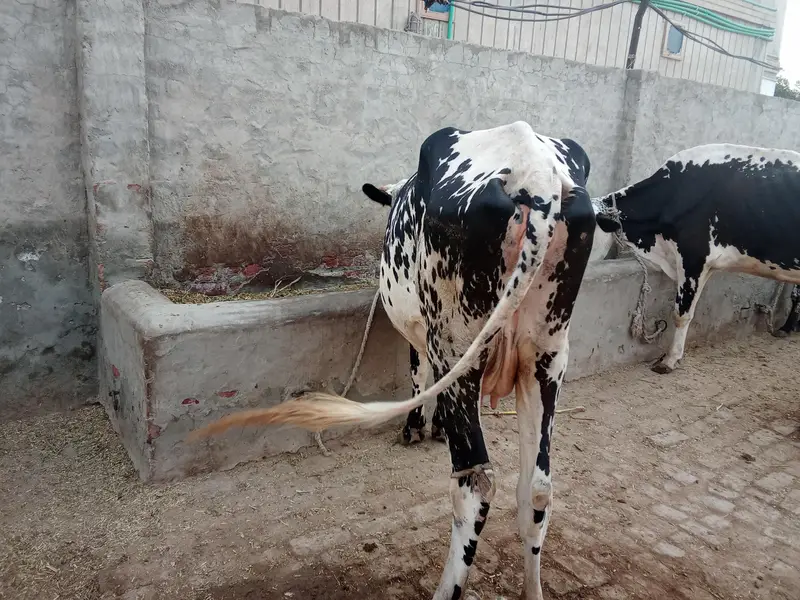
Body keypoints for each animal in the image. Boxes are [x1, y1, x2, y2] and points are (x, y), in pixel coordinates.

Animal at [188, 121, 620, 600]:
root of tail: (534, 169)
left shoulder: (420, 334)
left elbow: (417, 373)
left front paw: (417, 426)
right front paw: (435, 427)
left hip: (457, 345)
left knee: (476, 484)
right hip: (546, 357)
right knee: (538, 488)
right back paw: (533, 588)